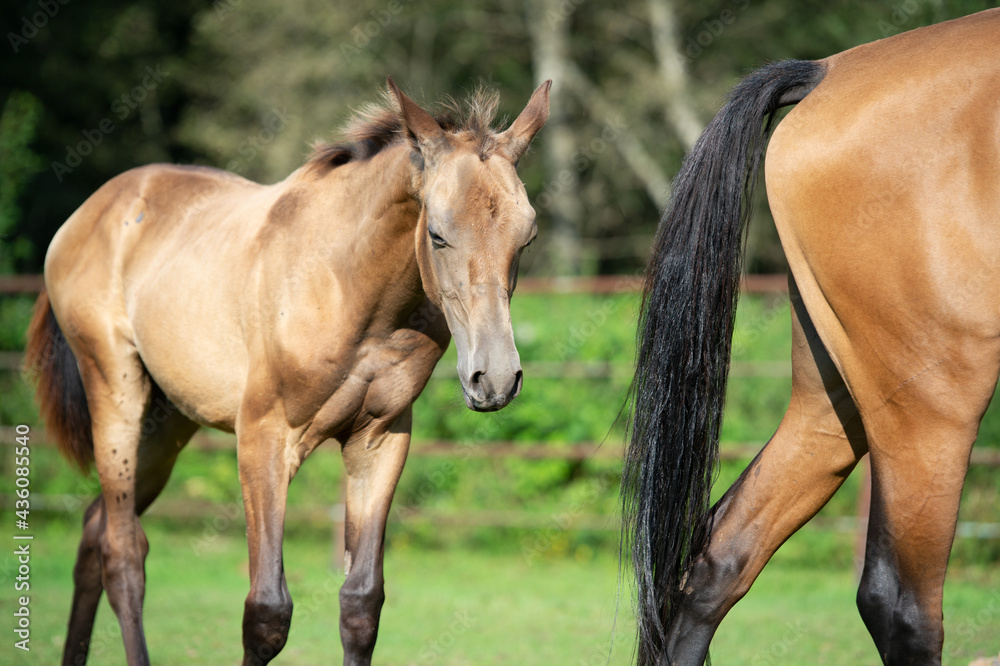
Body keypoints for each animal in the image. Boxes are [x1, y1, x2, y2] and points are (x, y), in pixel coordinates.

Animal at [25, 77, 550, 665]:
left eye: (527, 237)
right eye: (437, 234)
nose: (495, 379)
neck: (349, 287)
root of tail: (87, 213)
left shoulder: (379, 440)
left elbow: (361, 604)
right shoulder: (263, 438)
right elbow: (267, 612)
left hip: (166, 425)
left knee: (94, 532)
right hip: (116, 394)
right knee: (121, 554)